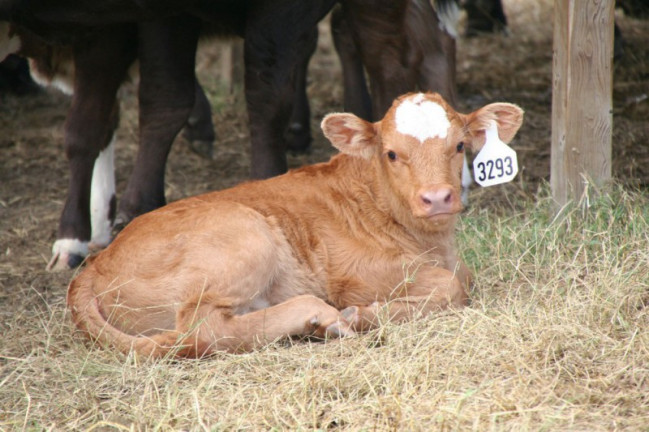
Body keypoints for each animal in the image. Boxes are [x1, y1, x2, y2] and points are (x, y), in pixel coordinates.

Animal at [67, 92, 520, 358]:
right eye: (391, 153)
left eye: (459, 146)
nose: (438, 198)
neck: (433, 244)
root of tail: (95, 262)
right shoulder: (357, 274)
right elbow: (451, 286)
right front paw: (361, 315)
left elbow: (463, 277)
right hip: (245, 238)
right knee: (201, 329)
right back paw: (320, 316)